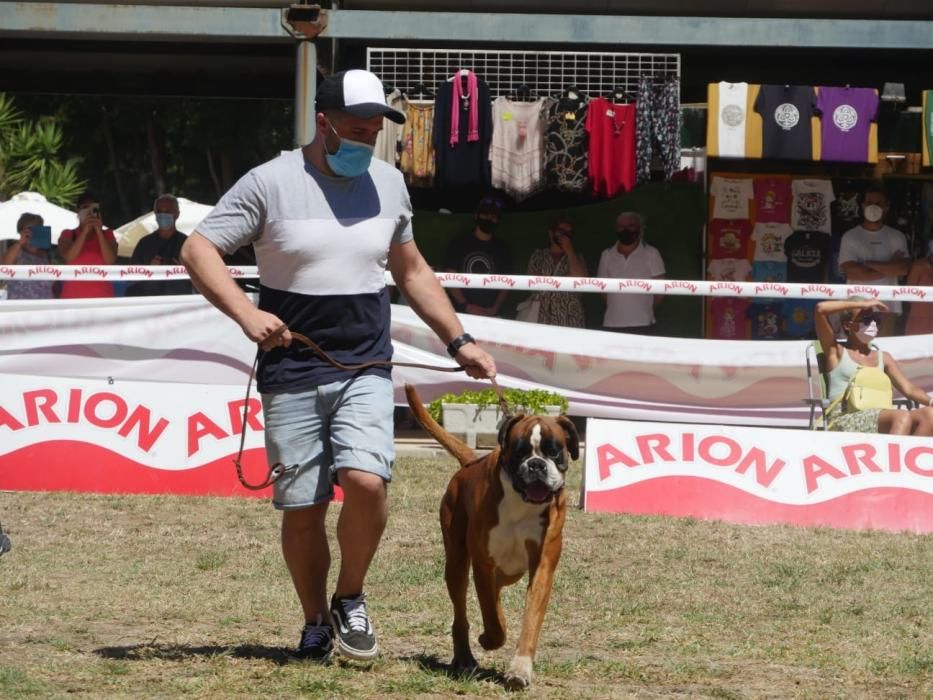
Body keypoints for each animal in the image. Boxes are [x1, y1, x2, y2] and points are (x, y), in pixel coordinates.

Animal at [404, 386, 580, 692]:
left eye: (554, 452)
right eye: (520, 452)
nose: (536, 465)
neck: (521, 504)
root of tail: (469, 463)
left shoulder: (542, 567)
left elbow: (529, 619)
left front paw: (520, 668)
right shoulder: (483, 564)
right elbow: (492, 617)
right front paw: (490, 638)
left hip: (509, 572)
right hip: (457, 565)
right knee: (462, 614)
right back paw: (464, 657)